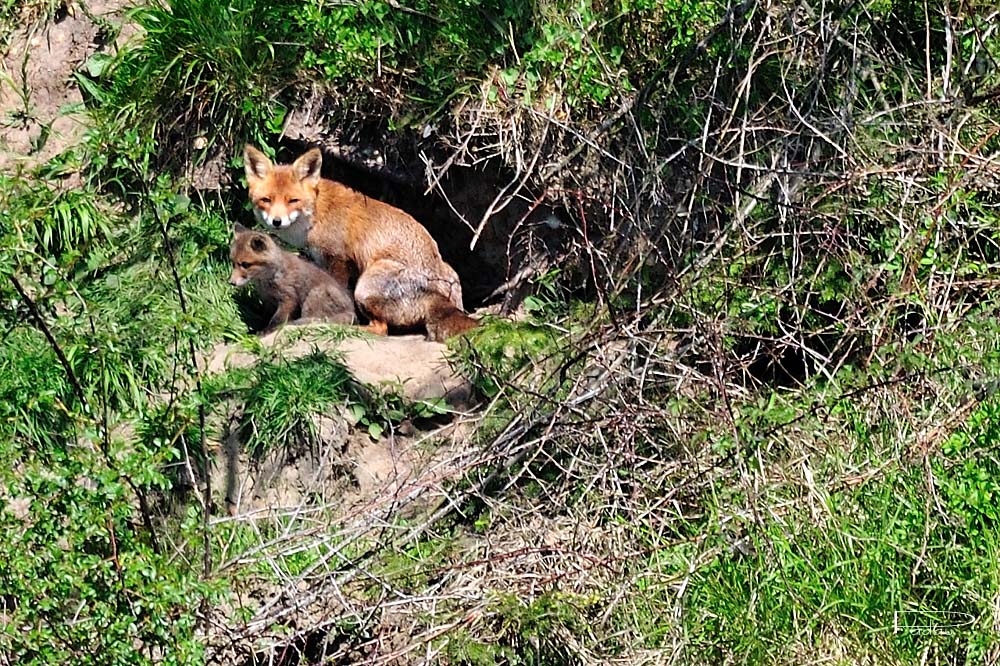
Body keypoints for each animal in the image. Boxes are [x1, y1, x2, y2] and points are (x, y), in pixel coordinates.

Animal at [242, 146, 476, 342]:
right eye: (266, 200)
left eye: (293, 201)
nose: (277, 221)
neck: (316, 214)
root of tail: (438, 294)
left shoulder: (338, 259)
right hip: (449, 271)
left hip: (365, 286)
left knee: (382, 329)